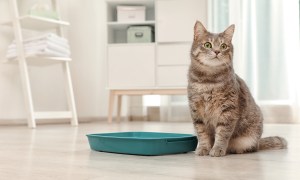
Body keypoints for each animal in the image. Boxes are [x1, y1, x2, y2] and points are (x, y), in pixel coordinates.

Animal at [188, 20, 288, 156]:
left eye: (223, 46)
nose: (217, 51)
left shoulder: (228, 110)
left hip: (248, 139)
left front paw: (217, 149)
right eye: (208, 45)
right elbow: (202, 133)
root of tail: (258, 142)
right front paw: (203, 148)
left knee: (248, 148)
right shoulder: (196, 111)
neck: (209, 81)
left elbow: (222, 133)